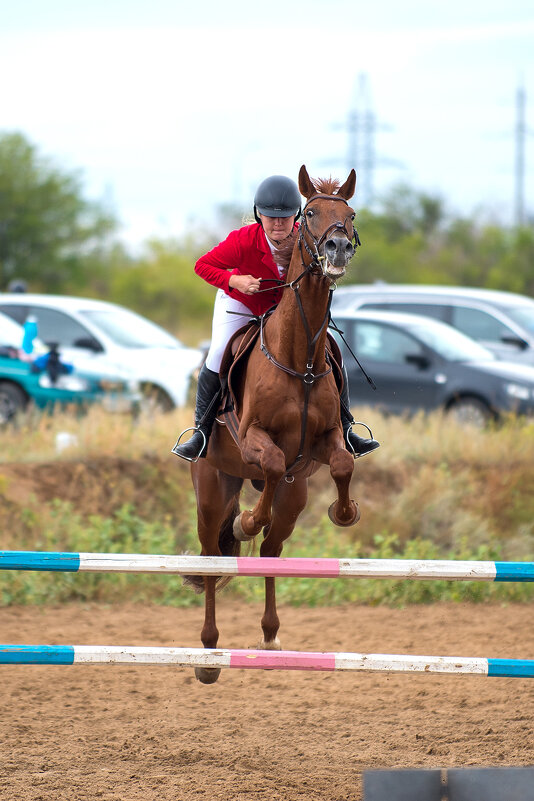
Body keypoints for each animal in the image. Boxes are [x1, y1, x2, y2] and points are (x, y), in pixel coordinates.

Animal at [191, 166, 362, 684]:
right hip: (212, 487)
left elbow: (343, 463)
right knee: (212, 556)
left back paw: (269, 636)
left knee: (270, 550)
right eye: (311, 213)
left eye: (350, 214)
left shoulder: (323, 443)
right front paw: (246, 519)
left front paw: (344, 513)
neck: (298, 359)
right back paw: (208, 654)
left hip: (295, 496)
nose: (337, 249)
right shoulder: (251, 438)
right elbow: (269, 460)